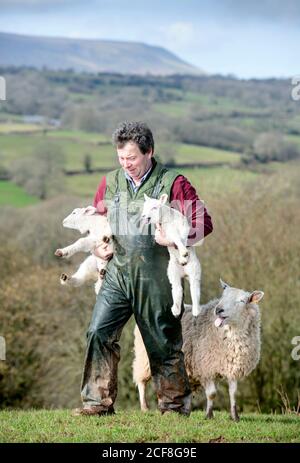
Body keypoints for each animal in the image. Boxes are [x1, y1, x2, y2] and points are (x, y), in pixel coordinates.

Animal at [132, 278, 264, 422]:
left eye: (241, 301)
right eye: (222, 297)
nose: (218, 310)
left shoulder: (232, 369)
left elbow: (233, 393)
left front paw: (235, 417)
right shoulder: (206, 367)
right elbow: (212, 394)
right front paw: (209, 415)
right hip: (144, 357)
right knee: (141, 381)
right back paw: (145, 408)